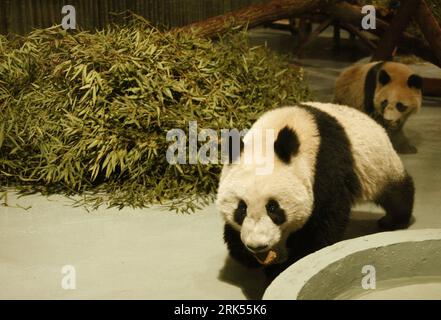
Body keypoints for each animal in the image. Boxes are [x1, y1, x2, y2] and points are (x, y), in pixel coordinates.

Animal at [216, 102, 412, 278]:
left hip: (379, 165)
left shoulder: (325, 166)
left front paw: (283, 267)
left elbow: (324, 221)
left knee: (396, 193)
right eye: (241, 208)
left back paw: (394, 221)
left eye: (273, 207)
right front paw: (249, 256)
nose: (258, 246)